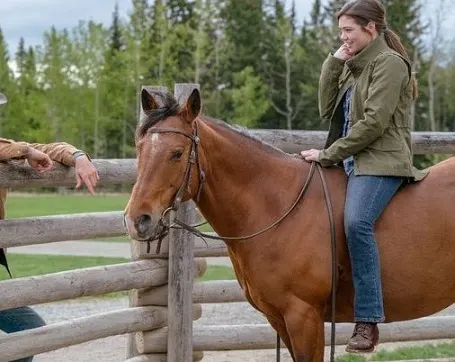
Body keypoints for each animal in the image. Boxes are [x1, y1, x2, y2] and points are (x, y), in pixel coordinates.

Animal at [124, 88, 455, 362]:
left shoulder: (304, 317)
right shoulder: (279, 319)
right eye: (139, 149)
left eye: (177, 153)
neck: (278, 206)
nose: (137, 219)